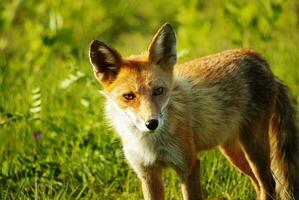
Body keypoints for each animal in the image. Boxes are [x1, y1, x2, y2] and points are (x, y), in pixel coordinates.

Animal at [89, 23, 299, 198]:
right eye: (129, 96)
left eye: (158, 91)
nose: (152, 123)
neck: (151, 143)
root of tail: (260, 59)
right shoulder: (148, 173)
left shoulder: (189, 167)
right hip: (233, 151)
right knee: (259, 185)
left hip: (254, 147)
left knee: (269, 184)